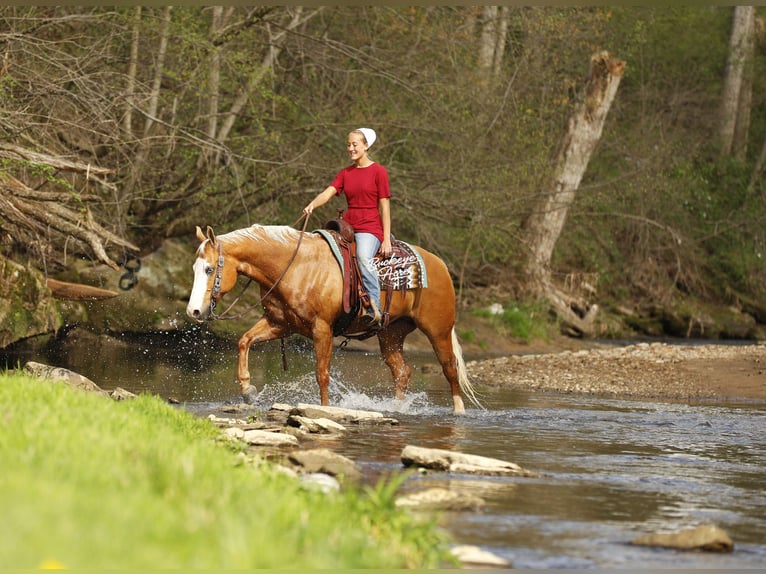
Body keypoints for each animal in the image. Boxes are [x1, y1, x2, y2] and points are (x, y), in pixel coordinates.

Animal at [186, 224, 479, 414]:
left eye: (209, 269)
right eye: (195, 268)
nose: (193, 312)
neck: (294, 266)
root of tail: (439, 263)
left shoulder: (322, 328)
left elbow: (322, 373)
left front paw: (325, 409)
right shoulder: (281, 325)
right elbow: (244, 341)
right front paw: (248, 390)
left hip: (438, 330)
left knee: (449, 368)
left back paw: (459, 411)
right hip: (391, 333)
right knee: (401, 372)